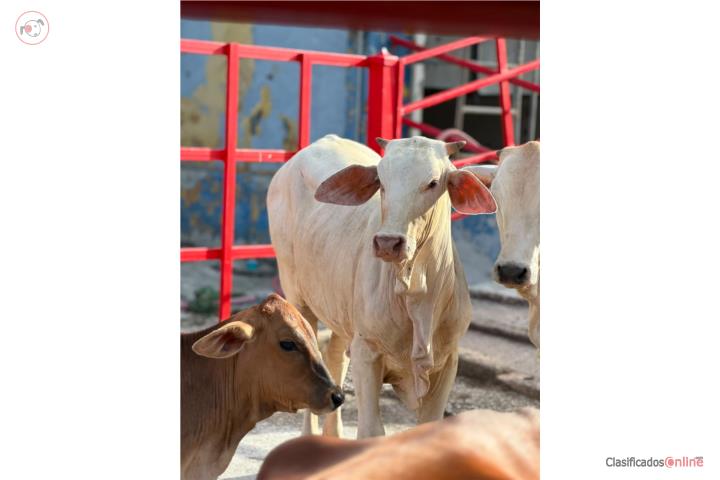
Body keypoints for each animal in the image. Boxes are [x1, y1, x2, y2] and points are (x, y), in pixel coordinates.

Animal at [267, 134, 496, 438]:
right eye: (382, 182)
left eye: (433, 182)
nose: (388, 242)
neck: (416, 291)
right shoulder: (367, 351)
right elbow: (371, 431)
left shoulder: (447, 359)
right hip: (298, 295)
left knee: (335, 356)